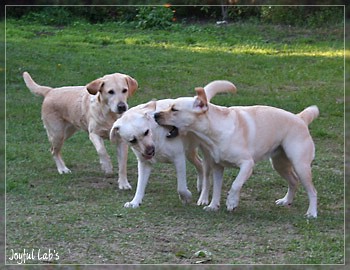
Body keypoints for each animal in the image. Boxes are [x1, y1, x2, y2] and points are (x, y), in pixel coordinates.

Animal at [154, 87, 318, 218]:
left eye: (174, 109)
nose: (155, 115)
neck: (216, 130)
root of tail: (300, 118)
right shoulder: (217, 167)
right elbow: (217, 188)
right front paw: (213, 206)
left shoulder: (247, 164)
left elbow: (235, 184)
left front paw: (232, 202)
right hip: (279, 164)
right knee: (293, 181)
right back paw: (286, 201)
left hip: (300, 165)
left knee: (312, 191)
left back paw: (311, 213)